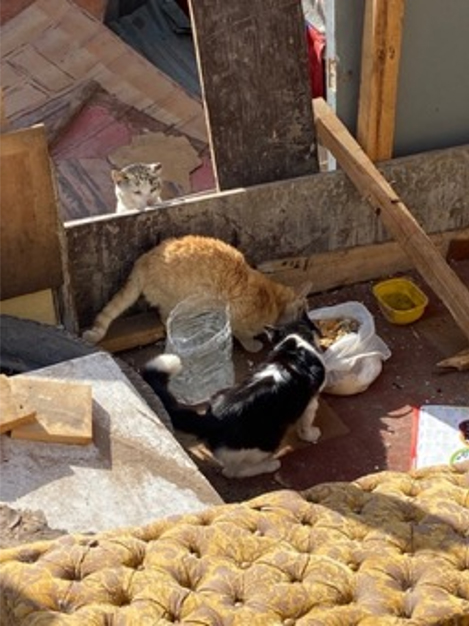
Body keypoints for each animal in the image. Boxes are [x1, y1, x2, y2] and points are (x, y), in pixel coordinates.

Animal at [83, 234, 310, 352]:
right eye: (303, 313)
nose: (310, 324)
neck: (271, 300)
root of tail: (142, 261)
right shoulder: (238, 321)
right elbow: (244, 336)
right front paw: (253, 345)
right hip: (175, 301)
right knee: (165, 317)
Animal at [142, 316, 326, 478]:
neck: (294, 343)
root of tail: (212, 419)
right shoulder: (310, 401)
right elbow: (306, 424)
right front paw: (311, 435)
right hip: (265, 442)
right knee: (233, 472)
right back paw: (269, 465)